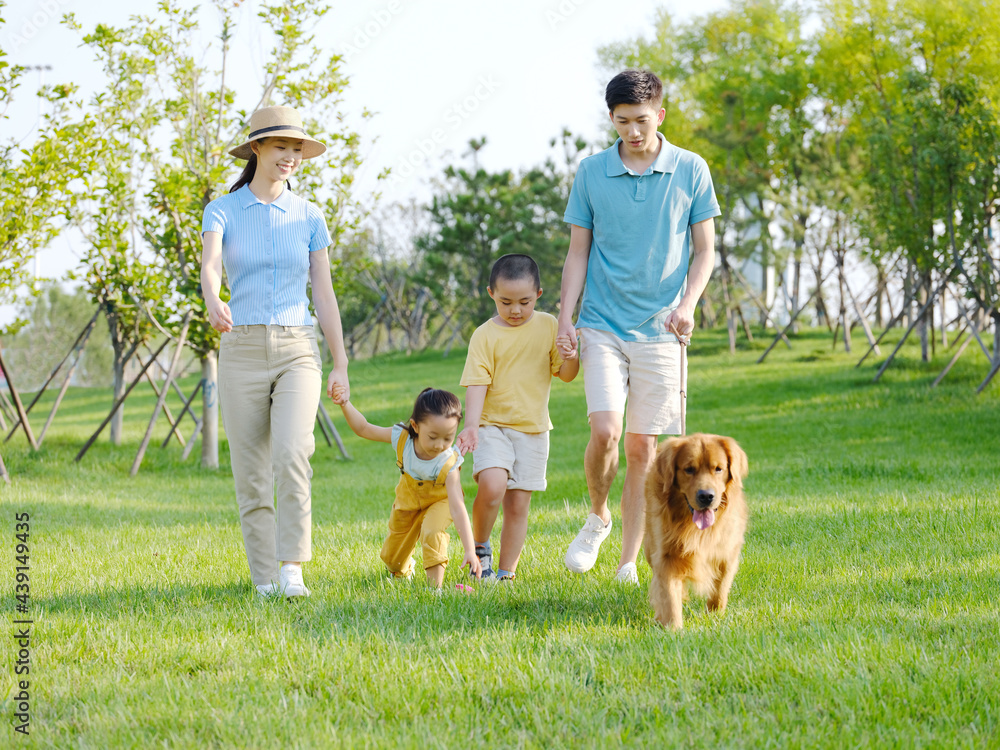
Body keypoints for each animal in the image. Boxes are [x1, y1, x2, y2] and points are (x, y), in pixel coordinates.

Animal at [644, 432, 748, 632]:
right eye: (689, 469)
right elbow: (668, 595)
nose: (706, 496)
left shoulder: (726, 554)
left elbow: (720, 589)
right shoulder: (666, 557)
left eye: (718, 469)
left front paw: (715, 616)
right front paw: (673, 629)